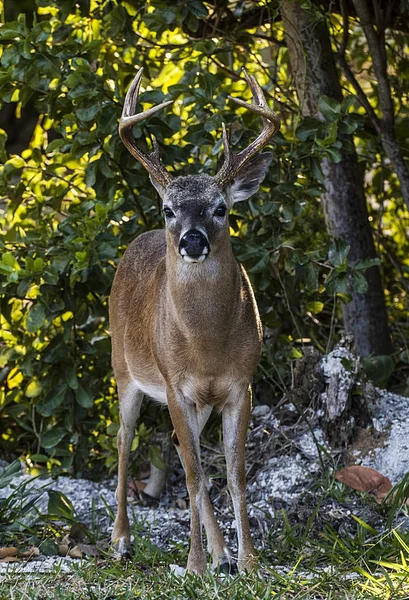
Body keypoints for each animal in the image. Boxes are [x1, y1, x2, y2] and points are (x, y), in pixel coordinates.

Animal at [109, 68, 280, 576]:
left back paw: (222, 554)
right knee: (124, 442)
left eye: (220, 208)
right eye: (169, 209)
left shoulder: (240, 384)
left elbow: (233, 474)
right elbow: (190, 474)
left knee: (185, 454)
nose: (192, 240)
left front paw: (248, 563)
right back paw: (121, 540)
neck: (206, 347)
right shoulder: (174, 383)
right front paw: (195, 566)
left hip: (196, 402)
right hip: (124, 369)